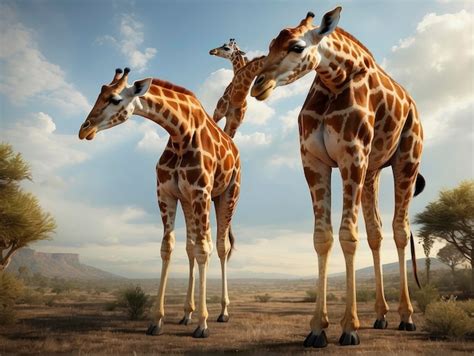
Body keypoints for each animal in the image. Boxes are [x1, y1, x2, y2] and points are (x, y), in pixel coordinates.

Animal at [79, 67, 241, 340]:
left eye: (115, 99)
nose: (84, 129)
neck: (180, 133)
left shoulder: (201, 191)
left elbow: (204, 249)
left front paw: (203, 324)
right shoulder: (166, 193)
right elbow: (169, 248)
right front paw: (157, 320)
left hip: (227, 194)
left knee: (220, 247)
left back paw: (223, 312)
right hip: (189, 201)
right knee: (191, 247)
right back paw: (187, 314)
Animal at [252, 6, 426, 348]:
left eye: (297, 47)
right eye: (269, 45)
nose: (259, 85)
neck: (334, 81)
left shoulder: (351, 156)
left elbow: (348, 235)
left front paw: (349, 328)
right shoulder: (313, 161)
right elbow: (322, 237)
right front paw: (317, 329)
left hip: (407, 159)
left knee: (400, 230)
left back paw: (406, 317)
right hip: (373, 171)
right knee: (377, 232)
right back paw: (381, 315)